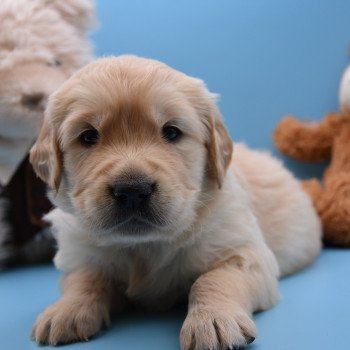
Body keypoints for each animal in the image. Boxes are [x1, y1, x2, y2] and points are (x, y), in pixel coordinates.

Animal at [29, 56, 320, 348]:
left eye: (171, 132)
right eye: (88, 136)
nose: (132, 190)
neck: (145, 246)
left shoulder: (243, 250)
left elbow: (214, 278)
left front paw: (213, 321)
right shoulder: (81, 253)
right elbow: (84, 280)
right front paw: (65, 310)